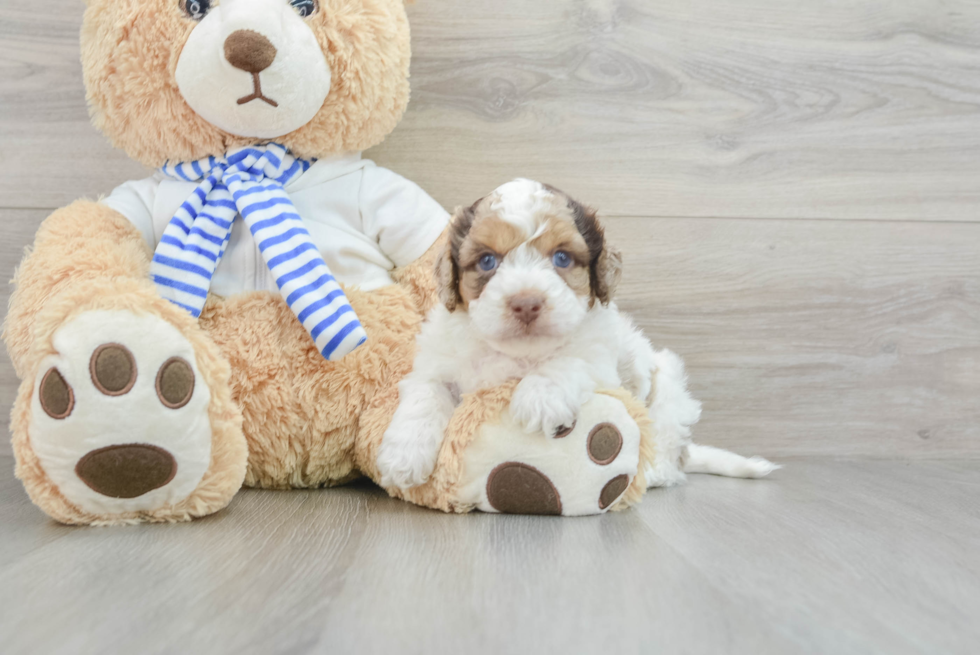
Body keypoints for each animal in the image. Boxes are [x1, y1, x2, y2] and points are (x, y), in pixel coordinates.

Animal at [378, 181, 780, 492]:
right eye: (488, 261)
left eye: (561, 258)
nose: (526, 303)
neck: (516, 353)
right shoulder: (436, 364)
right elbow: (425, 396)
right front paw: (403, 456)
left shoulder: (602, 360)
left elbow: (570, 360)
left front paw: (539, 397)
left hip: (669, 391)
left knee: (668, 447)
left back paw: (652, 473)